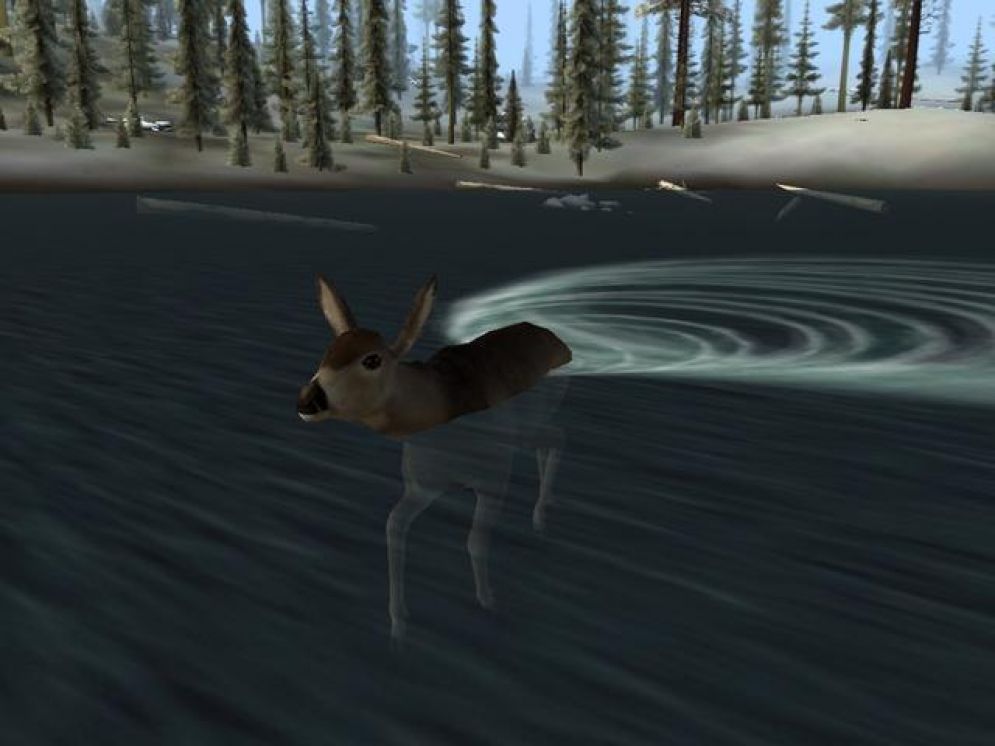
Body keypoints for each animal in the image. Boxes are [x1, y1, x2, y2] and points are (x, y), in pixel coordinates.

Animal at [297, 275, 573, 642]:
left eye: (372, 360)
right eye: (328, 352)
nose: (307, 398)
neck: (438, 404)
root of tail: (559, 343)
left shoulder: (494, 476)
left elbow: (474, 541)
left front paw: (487, 600)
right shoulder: (421, 485)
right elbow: (394, 529)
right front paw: (398, 621)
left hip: (529, 426)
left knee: (557, 437)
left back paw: (541, 517)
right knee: (553, 439)